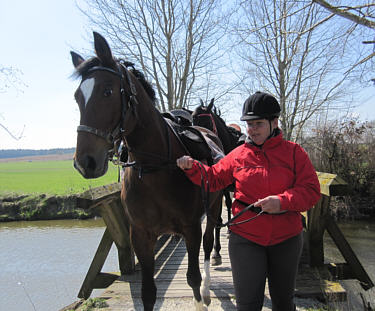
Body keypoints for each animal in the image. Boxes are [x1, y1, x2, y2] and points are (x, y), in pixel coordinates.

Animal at [70, 32, 223, 311]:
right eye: (78, 96)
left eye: (107, 91)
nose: (85, 161)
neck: (155, 169)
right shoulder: (141, 235)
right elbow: (148, 292)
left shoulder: (191, 228)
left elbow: (193, 278)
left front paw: (200, 294)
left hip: (214, 208)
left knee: (208, 246)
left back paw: (207, 289)